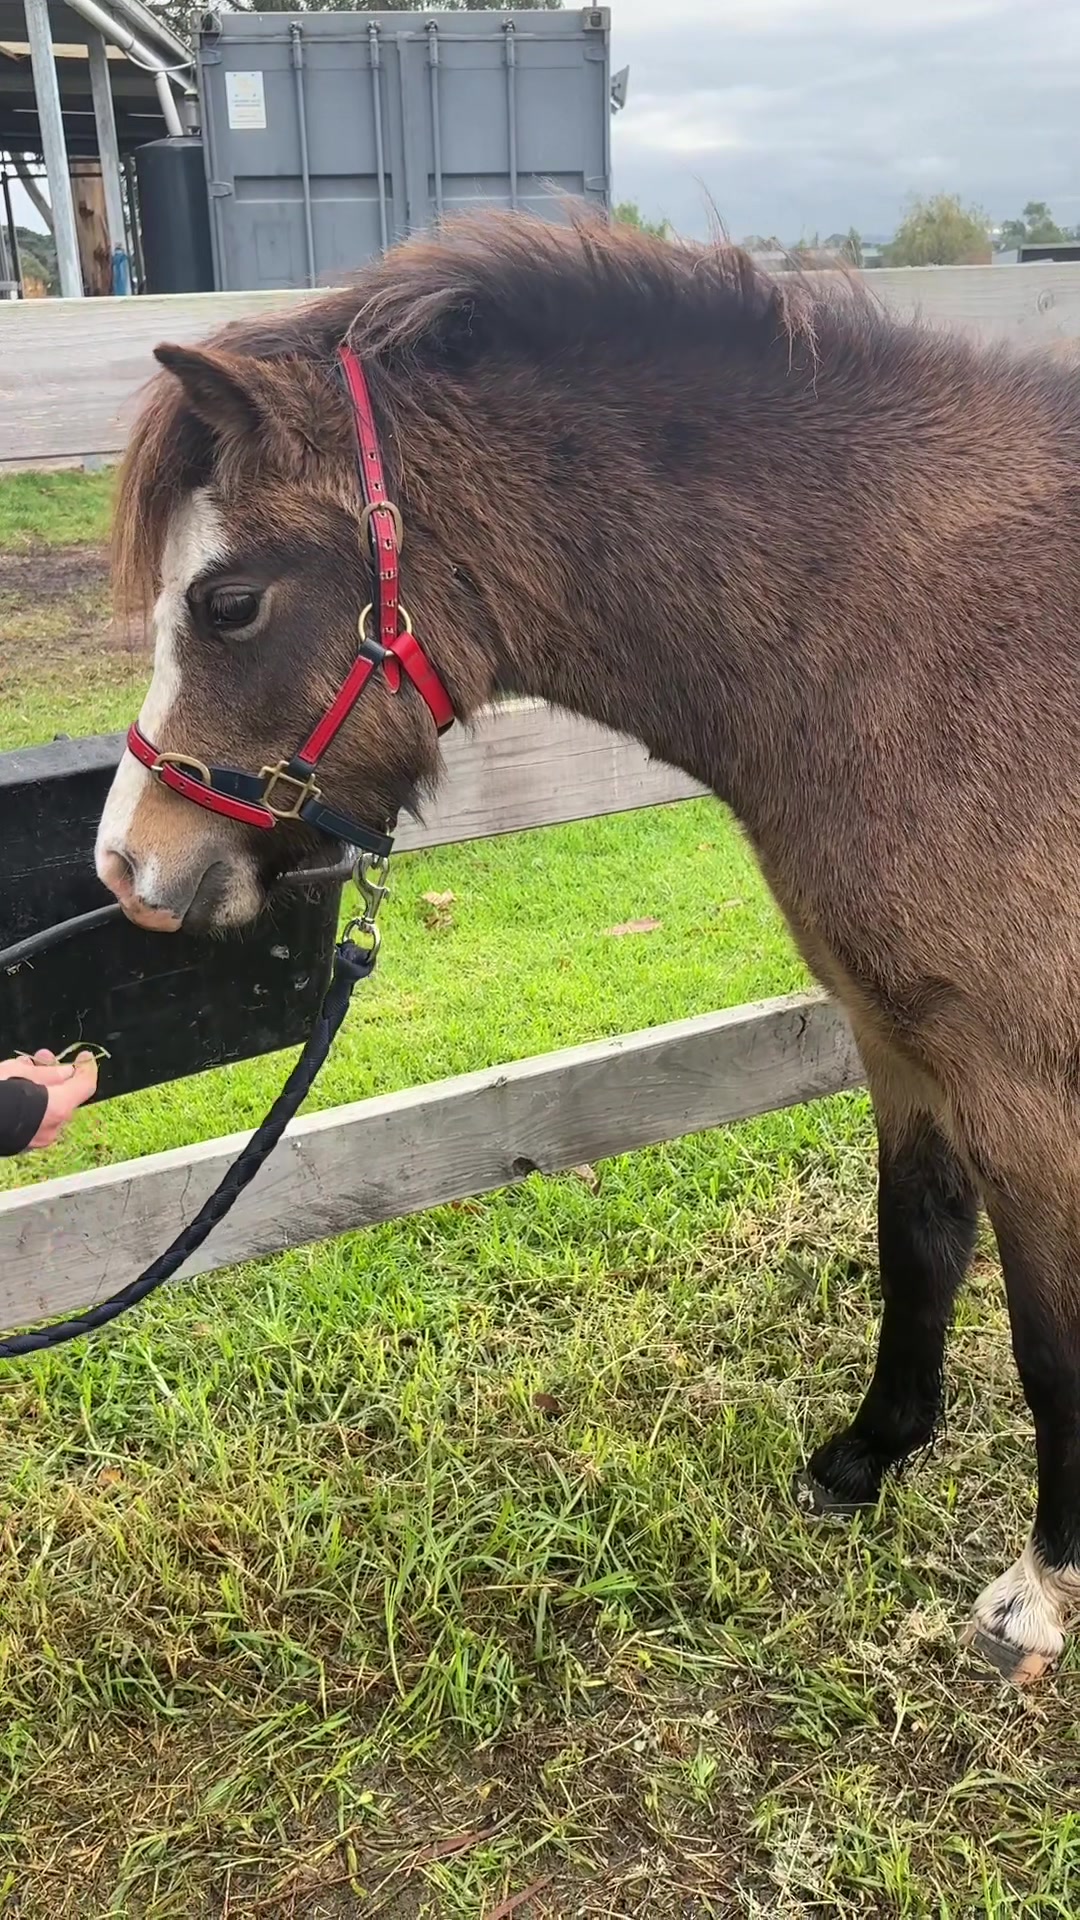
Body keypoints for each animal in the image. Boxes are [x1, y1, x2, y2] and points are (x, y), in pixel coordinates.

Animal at [98, 212, 1080, 1687]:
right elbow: (916, 1240)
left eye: (225, 602)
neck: (921, 643)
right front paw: (868, 1455)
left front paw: (1041, 1588)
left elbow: (1050, 1338)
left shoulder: (1023, 1088)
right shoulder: (901, 1040)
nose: (130, 867)